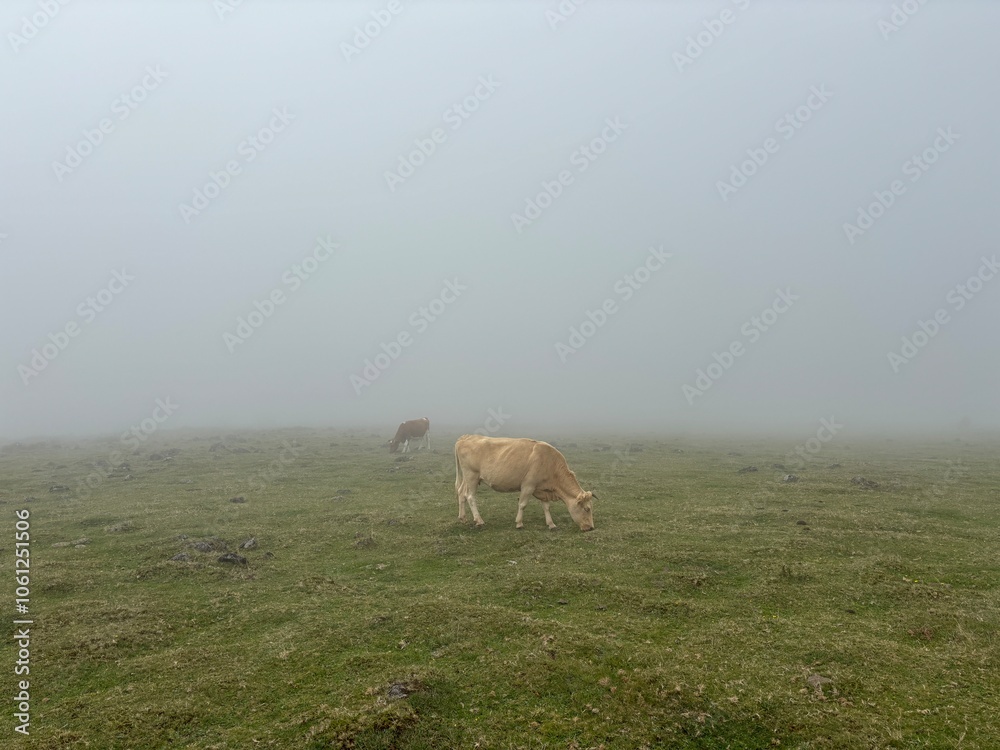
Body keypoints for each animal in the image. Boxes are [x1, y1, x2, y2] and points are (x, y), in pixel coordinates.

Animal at [453, 435, 595, 531]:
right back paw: (479, 520)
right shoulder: (528, 485)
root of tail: (466, 437)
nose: (591, 528)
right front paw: (519, 523)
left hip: (468, 478)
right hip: (471, 476)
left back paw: (462, 518)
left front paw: (551, 524)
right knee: (470, 497)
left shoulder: (543, 489)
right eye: (587, 509)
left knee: (461, 493)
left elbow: (546, 507)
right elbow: (522, 504)